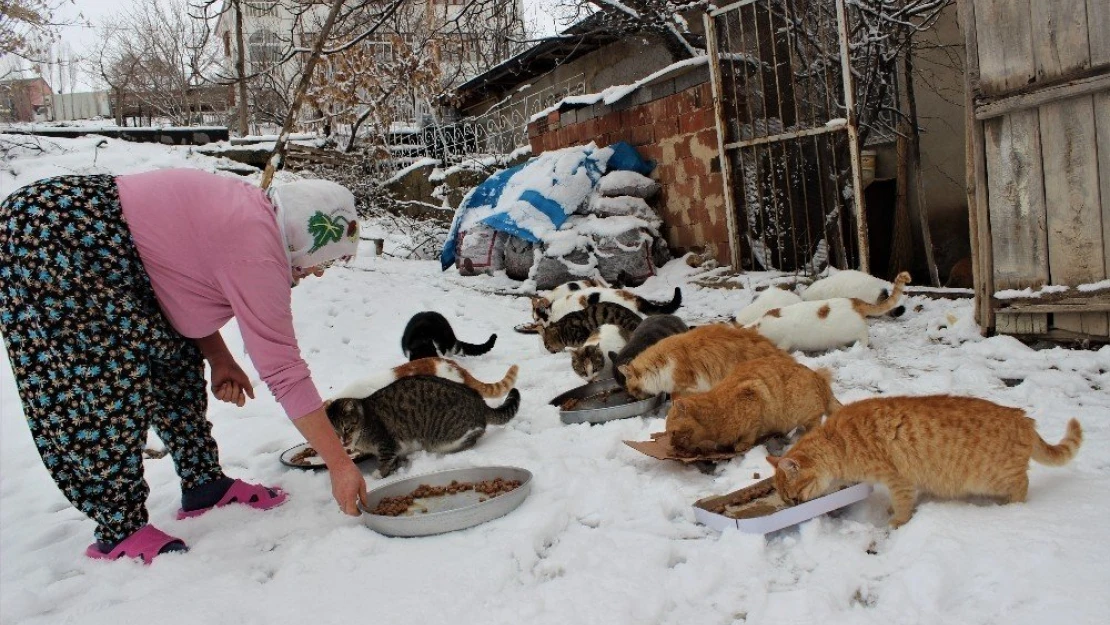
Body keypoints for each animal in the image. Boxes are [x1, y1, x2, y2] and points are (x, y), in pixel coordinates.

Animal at [661, 357, 834, 455]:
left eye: (673, 432)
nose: (670, 445)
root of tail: (820, 378)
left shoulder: (754, 400)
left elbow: (749, 435)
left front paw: (740, 445)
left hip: (803, 409)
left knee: (815, 422)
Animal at [768, 395, 1078, 528]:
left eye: (793, 497)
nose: (793, 506)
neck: (839, 442)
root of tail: (1023, 419)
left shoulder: (898, 479)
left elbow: (903, 504)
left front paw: (897, 520)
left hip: (996, 477)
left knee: (1022, 484)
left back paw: (1013, 508)